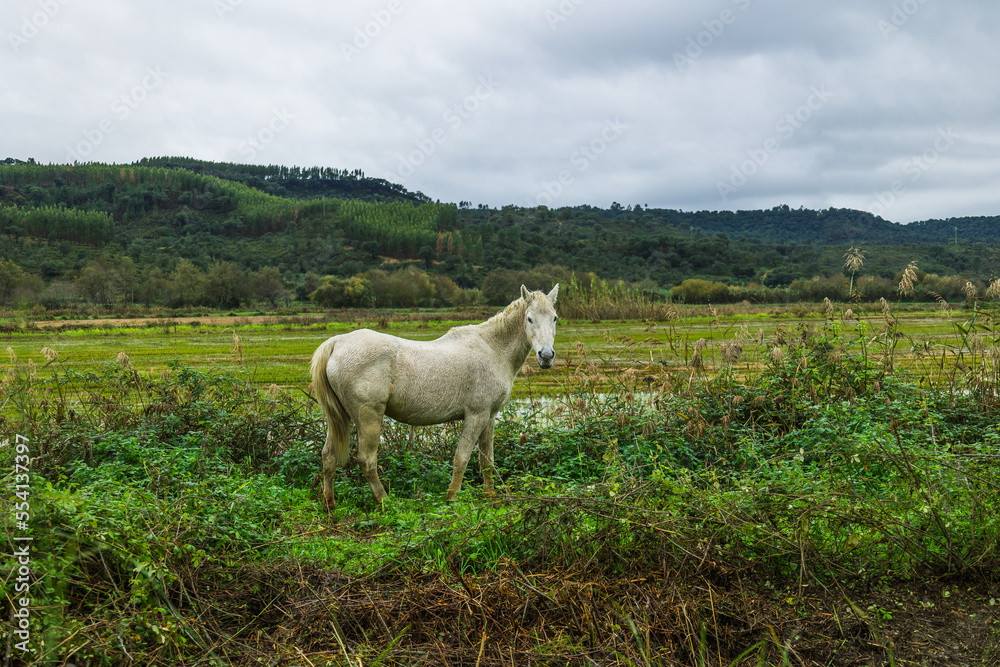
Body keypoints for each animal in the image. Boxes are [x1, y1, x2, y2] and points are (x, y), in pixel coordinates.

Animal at [308, 286, 560, 512]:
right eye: (529, 319)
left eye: (555, 318)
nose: (546, 356)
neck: (492, 349)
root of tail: (337, 343)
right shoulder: (475, 416)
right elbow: (462, 458)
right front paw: (451, 498)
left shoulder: (489, 418)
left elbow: (487, 461)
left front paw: (491, 498)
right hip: (368, 419)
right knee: (367, 460)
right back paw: (385, 501)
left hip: (340, 418)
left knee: (328, 457)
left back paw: (330, 505)